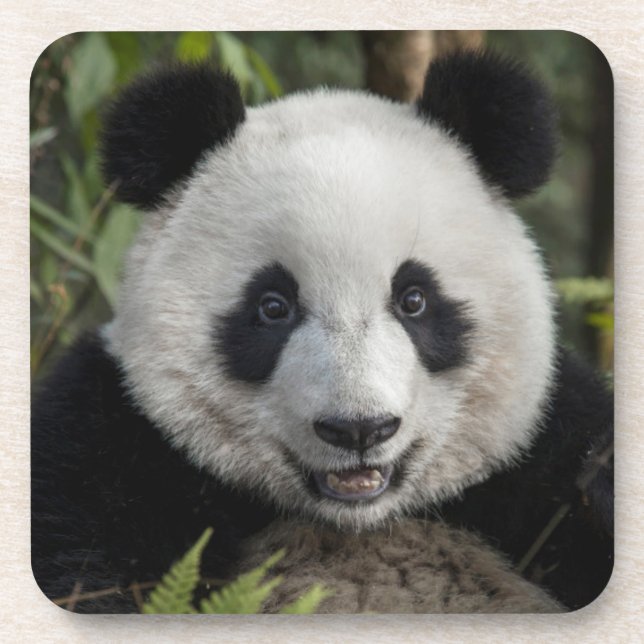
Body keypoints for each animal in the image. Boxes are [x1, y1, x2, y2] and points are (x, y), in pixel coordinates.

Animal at [31, 50, 613, 613]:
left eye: (414, 299)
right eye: (273, 307)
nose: (359, 430)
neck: (358, 521)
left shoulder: (549, 448)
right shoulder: (110, 446)